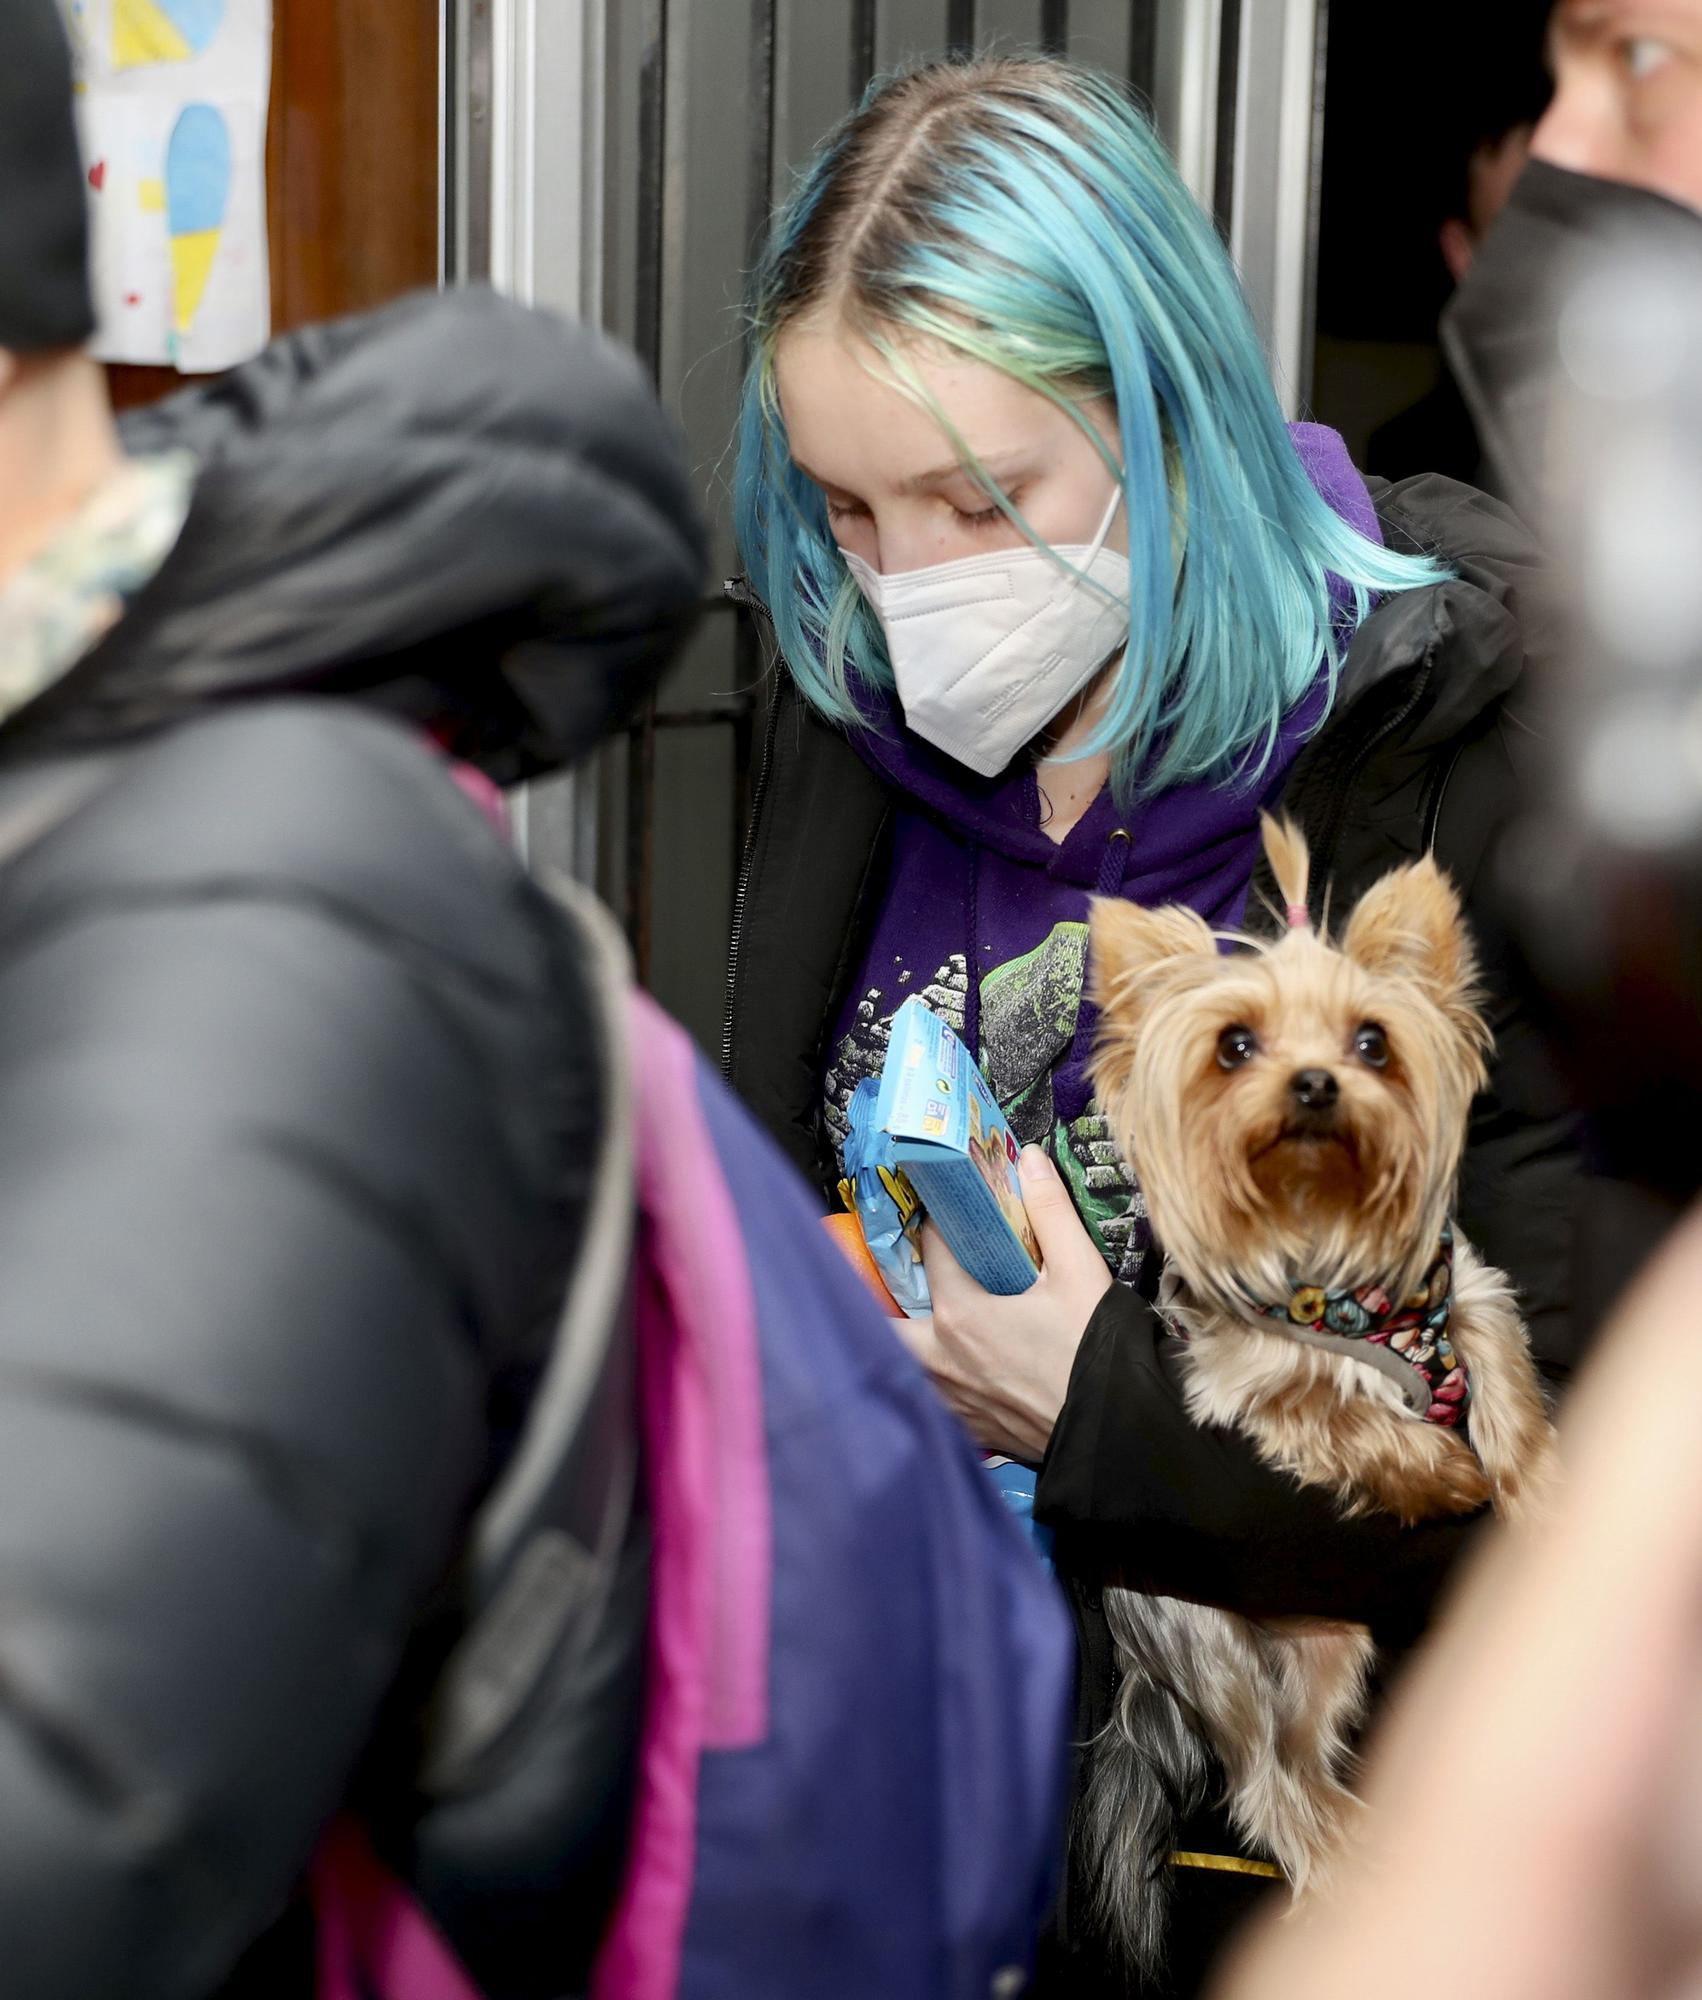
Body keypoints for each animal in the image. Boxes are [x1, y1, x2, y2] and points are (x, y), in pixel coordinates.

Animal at [1088, 820, 1552, 1976]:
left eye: (1374, 1042)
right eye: (1234, 1047)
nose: (1312, 1085)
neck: (1320, 1230)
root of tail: (1141, 1670)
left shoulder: (1467, 1291)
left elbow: (1506, 1384)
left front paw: (1541, 1490)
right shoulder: (1241, 1374)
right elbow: (1337, 1412)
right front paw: (1442, 1473)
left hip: (1332, 1643)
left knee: (1298, 1764)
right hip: (1211, 1644)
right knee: (1262, 1785)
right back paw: (1351, 1880)